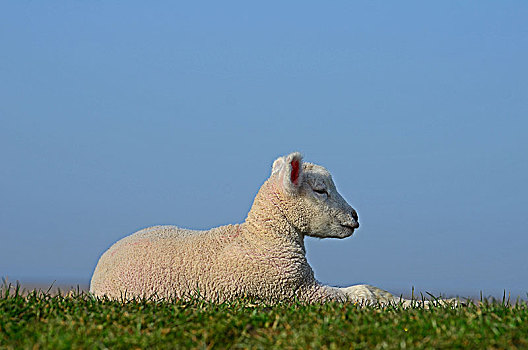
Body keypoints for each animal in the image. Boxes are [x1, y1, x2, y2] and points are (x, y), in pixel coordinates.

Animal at [89, 152, 450, 306]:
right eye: (321, 190)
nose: (355, 216)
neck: (261, 238)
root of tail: (101, 264)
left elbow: (374, 289)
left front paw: (439, 304)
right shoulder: (294, 291)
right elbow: (362, 294)